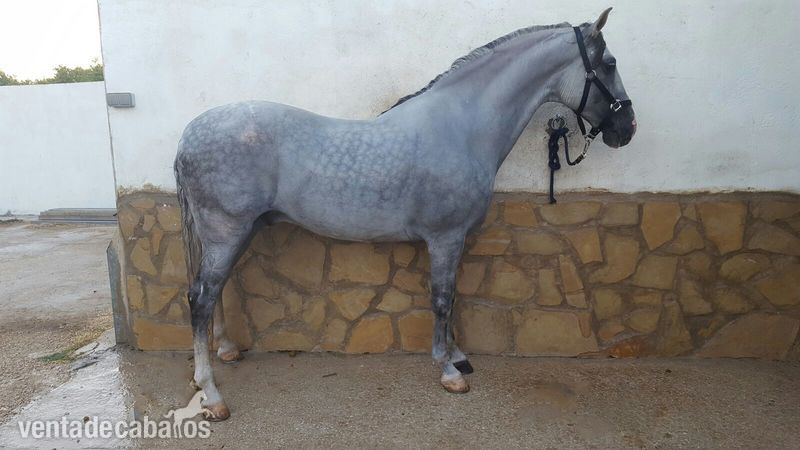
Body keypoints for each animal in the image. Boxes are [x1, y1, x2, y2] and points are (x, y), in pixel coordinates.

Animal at [174, 8, 636, 421]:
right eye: (610, 64)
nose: (627, 128)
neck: (462, 127)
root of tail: (188, 134)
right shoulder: (445, 236)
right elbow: (443, 298)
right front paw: (450, 371)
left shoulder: (454, 239)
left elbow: (454, 297)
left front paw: (459, 356)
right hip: (227, 231)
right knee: (200, 298)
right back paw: (211, 394)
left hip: (238, 232)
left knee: (218, 292)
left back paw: (226, 352)